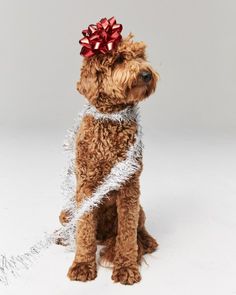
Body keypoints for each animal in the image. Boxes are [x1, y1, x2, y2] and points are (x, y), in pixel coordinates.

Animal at [58, 20, 159, 284]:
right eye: (120, 59)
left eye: (141, 56)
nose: (146, 74)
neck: (112, 119)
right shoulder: (85, 186)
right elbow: (84, 231)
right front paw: (82, 265)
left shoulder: (129, 186)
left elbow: (127, 232)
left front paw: (126, 267)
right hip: (68, 209)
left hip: (139, 207)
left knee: (139, 228)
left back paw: (146, 242)